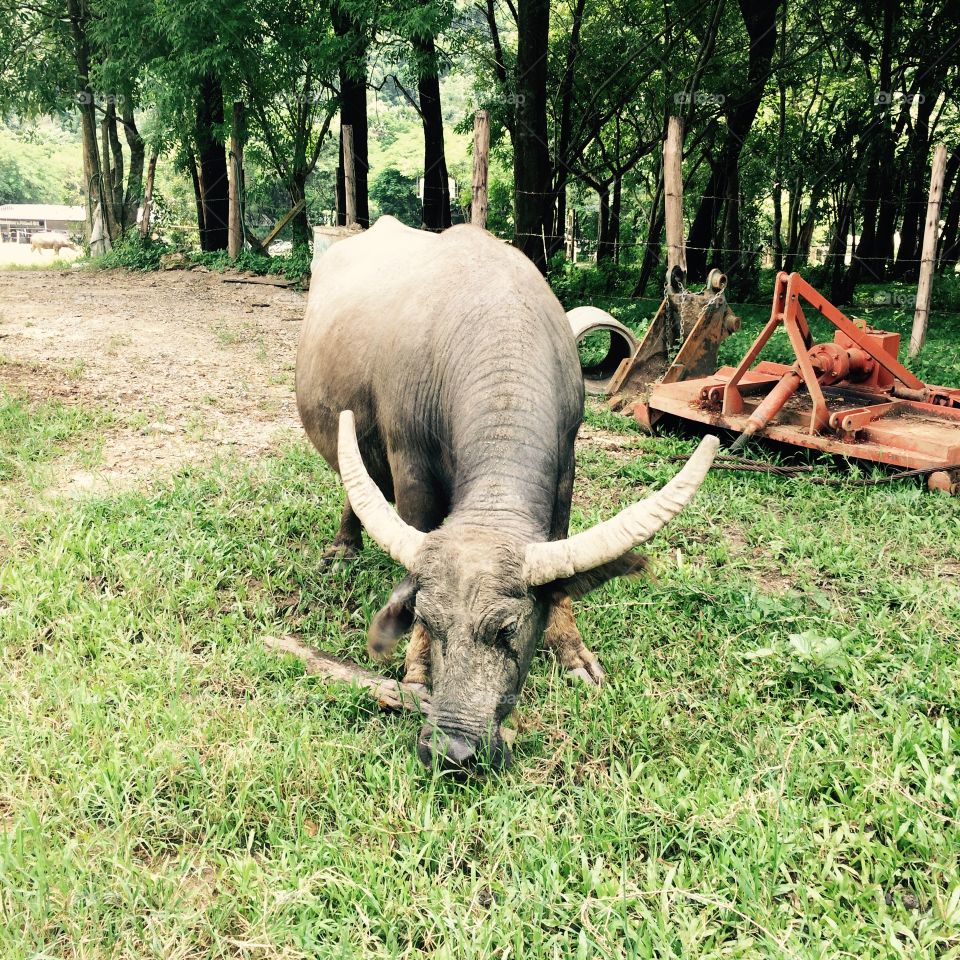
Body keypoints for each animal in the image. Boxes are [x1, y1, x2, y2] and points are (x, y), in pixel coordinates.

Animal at [296, 218, 716, 772]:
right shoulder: (410, 468)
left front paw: (573, 653)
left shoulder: (565, 464)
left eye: (508, 631)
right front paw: (415, 672)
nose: (452, 750)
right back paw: (343, 549)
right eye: (427, 621)